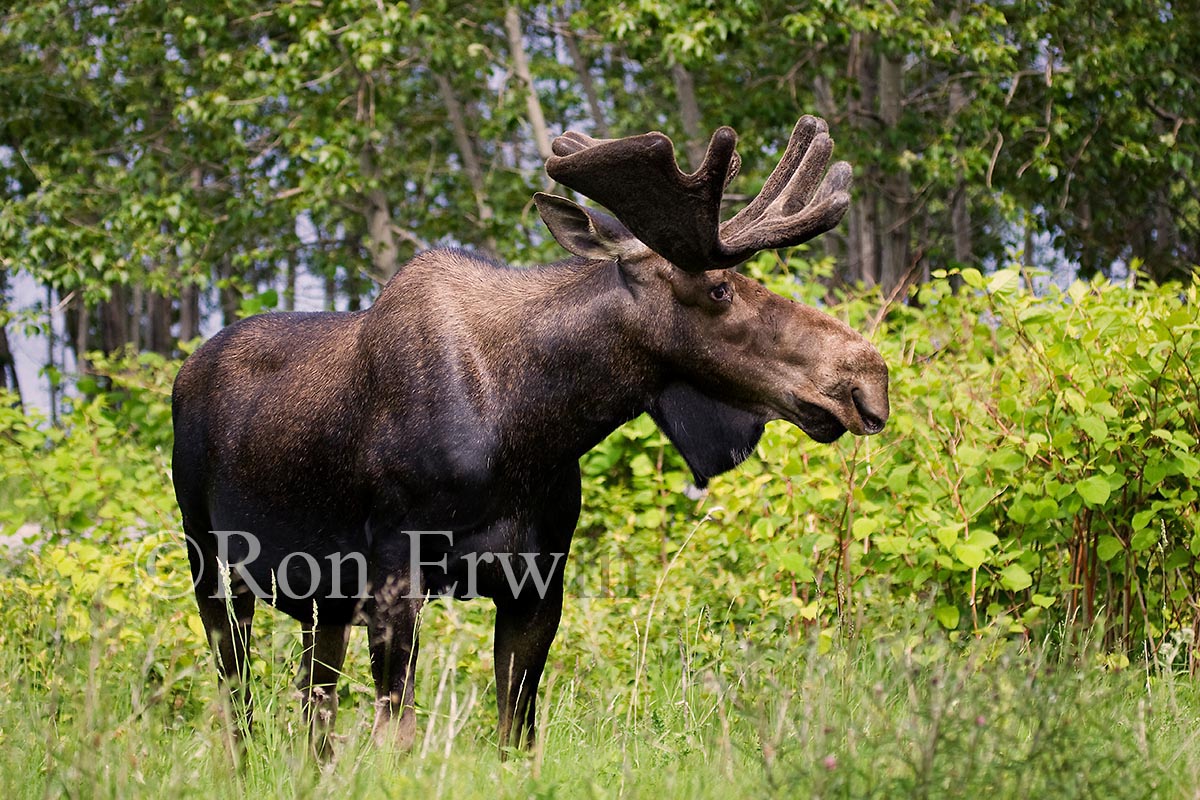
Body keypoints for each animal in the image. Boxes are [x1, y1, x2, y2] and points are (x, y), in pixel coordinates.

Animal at [174, 112, 892, 758]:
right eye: (719, 288)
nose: (868, 376)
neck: (529, 430)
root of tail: (185, 371)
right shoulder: (393, 570)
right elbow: (397, 737)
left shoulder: (538, 582)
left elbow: (515, 736)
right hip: (210, 559)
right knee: (239, 705)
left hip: (322, 598)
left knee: (312, 708)